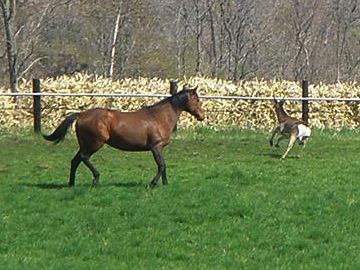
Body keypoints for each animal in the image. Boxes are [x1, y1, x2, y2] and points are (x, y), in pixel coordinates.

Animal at [43, 86, 204, 188]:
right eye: (197, 99)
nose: (201, 116)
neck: (159, 117)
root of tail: (81, 115)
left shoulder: (159, 148)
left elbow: (163, 165)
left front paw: (165, 184)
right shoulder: (155, 147)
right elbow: (161, 165)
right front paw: (153, 183)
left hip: (85, 144)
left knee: (75, 160)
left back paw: (72, 184)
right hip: (95, 143)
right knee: (84, 157)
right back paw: (96, 179)